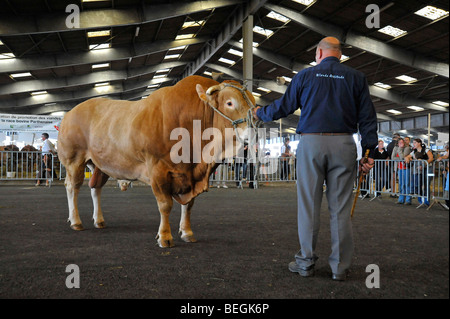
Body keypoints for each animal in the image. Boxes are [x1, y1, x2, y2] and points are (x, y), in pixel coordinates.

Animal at [57, 75, 255, 248]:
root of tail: (70, 113)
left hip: (100, 164)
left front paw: (187, 232)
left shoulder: (189, 175)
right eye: (230, 103)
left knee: (95, 188)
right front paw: (165, 237)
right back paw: (76, 221)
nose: (252, 132)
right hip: (74, 159)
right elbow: (165, 205)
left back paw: (99, 220)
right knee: (72, 187)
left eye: (253, 104)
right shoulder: (158, 170)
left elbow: (188, 205)